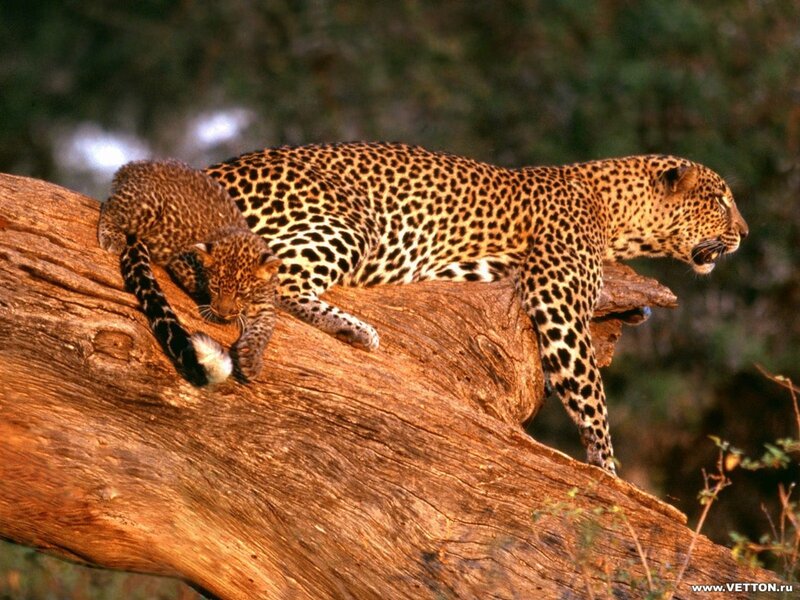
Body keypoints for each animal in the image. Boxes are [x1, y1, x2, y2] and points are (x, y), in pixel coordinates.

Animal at [98, 159, 281, 385]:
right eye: (216, 287)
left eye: (241, 293)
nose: (223, 313)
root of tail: (133, 166)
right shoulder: (180, 261)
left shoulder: (265, 304)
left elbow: (264, 327)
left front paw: (251, 358)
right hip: (146, 208)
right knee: (110, 206)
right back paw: (112, 235)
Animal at [204, 142, 748, 475]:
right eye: (721, 199)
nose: (745, 234)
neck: (616, 211)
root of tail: (210, 171)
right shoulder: (557, 296)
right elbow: (590, 391)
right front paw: (610, 472)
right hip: (350, 219)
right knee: (276, 282)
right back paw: (353, 329)